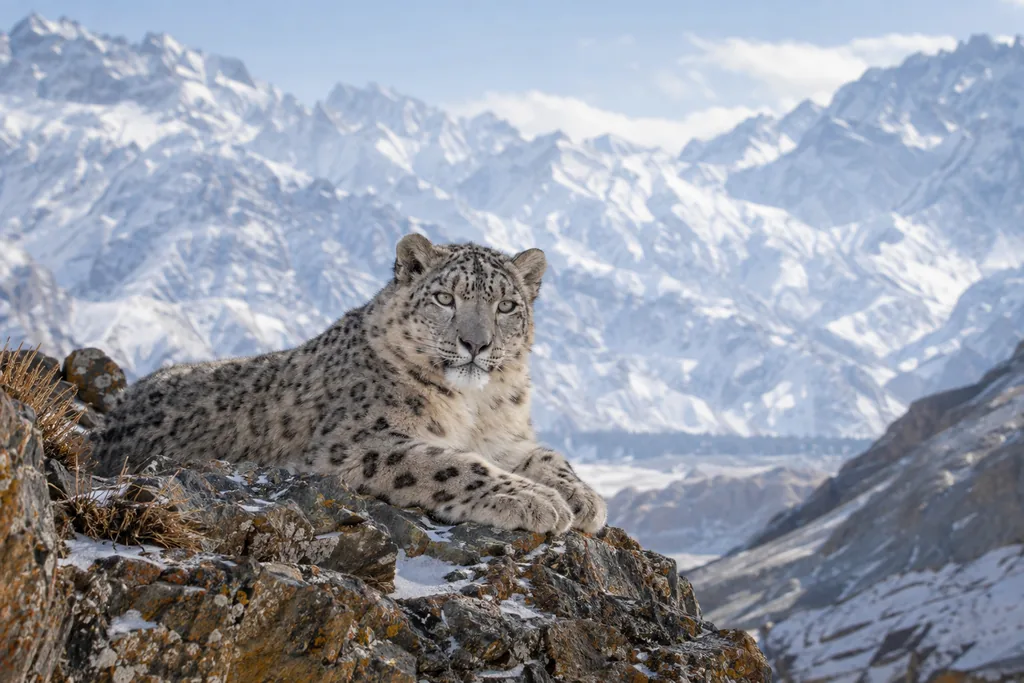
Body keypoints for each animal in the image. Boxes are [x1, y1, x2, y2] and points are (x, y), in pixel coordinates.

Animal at [91, 233, 607, 534]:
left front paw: (584, 498)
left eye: (506, 306)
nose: (475, 343)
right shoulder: (361, 443)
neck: (475, 407)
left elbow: (547, 456)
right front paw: (536, 500)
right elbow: (451, 464)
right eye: (445, 298)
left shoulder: (505, 437)